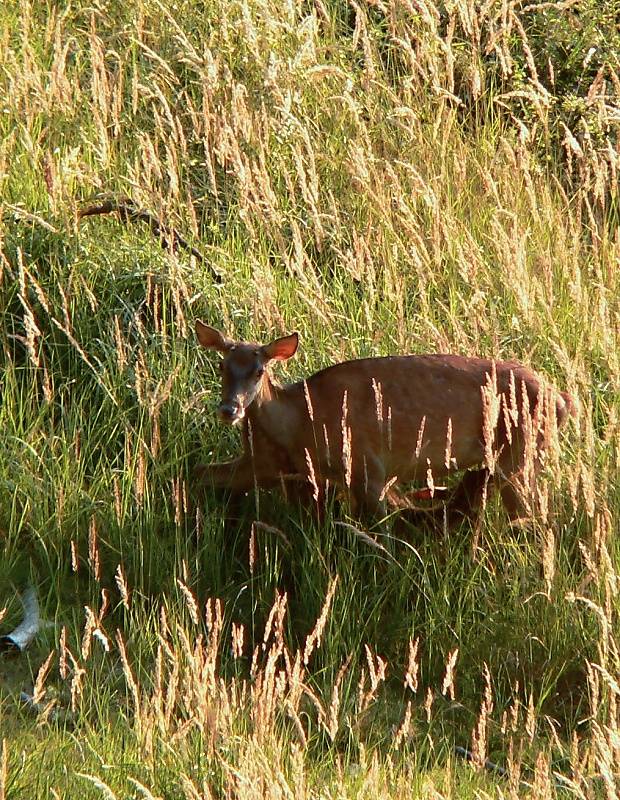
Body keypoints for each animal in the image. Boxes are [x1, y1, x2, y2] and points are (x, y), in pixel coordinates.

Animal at [193, 322, 572, 520]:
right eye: (222, 365)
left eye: (259, 370)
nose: (229, 409)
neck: (299, 424)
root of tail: (563, 401)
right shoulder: (270, 468)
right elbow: (200, 474)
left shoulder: (368, 468)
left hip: (517, 457)